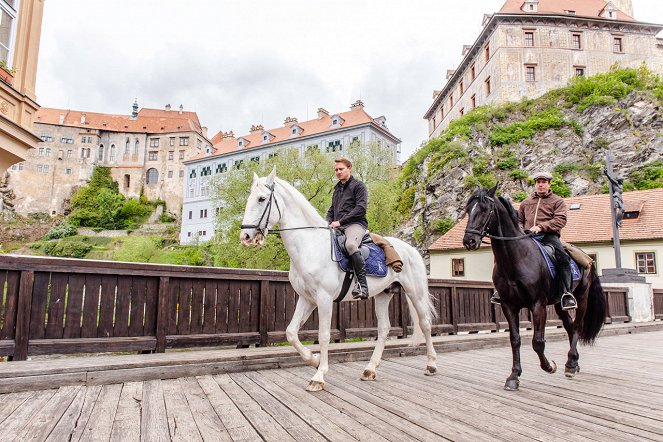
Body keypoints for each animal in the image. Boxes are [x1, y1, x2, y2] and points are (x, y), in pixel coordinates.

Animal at [241, 168, 438, 390]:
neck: (310, 245)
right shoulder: (307, 299)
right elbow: (291, 332)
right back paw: (370, 369)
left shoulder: (324, 299)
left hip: (415, 293)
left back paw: (431, 365)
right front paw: (314, 359)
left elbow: (324, 335)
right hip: (383, 295)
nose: (245, 236)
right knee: (384, 328)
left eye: (261, 198)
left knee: (425, 323)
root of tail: (410, 249)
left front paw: (319, 376)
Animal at [464, 186, 604, 390]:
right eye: (468, 210)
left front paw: (549, 366)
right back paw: (574, 363)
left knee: (577, 326)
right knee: (570, 327)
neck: (516, 259)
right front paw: (514, 376)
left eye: (484, 209)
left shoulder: (537, 304)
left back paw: (570, 364)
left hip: (581, 297)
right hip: (558, 303)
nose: (469, 241)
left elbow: (538, 341)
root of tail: (587, 258)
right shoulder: (508, 305)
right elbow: (515, 340)